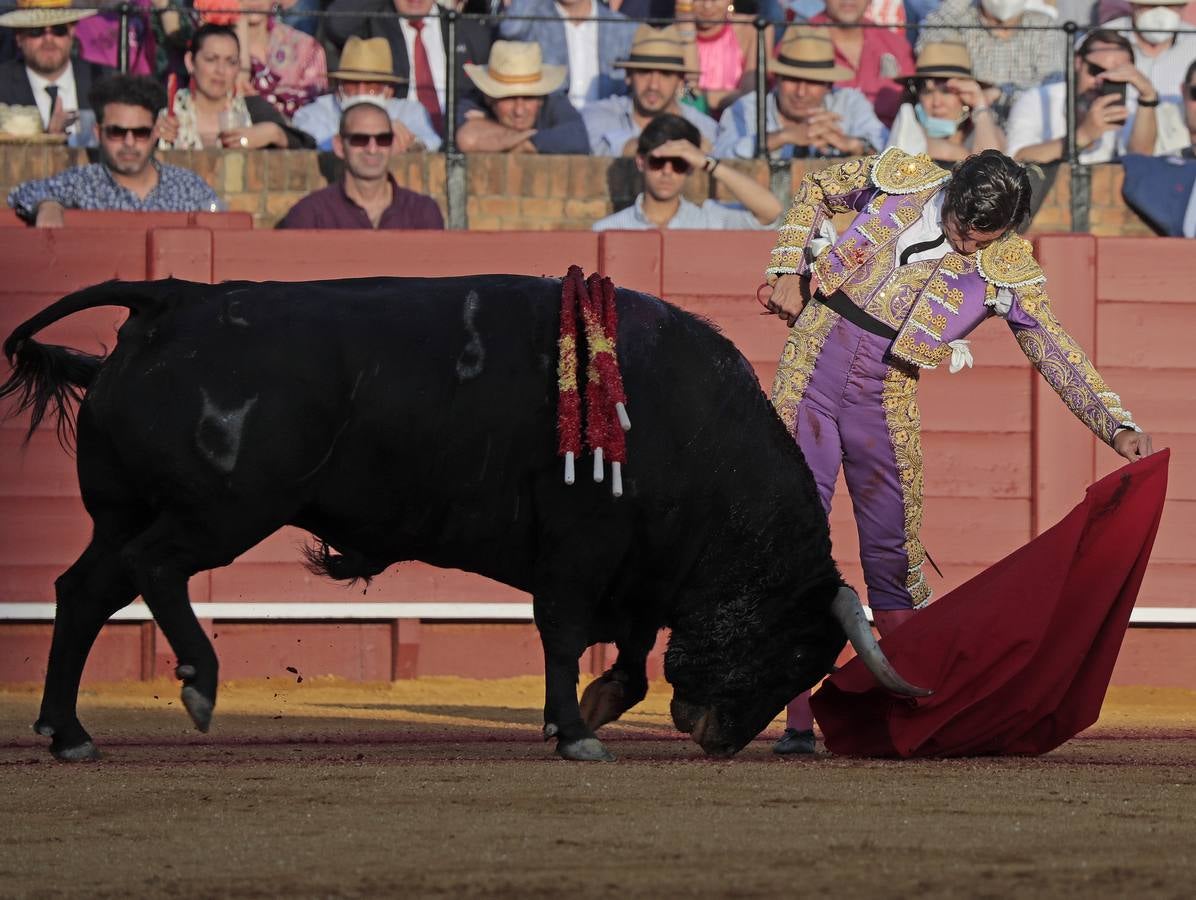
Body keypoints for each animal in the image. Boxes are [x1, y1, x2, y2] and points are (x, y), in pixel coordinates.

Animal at [0, 273, 923, 760]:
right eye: (798, 651)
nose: (717, 737)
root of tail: (169, 298)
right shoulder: (580, 548)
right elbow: (565, 634)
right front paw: (574, 731)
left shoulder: (631, 565)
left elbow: (624, 651)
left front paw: (587, 710)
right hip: (225, 509)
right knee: (155, 569)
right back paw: (197, 684)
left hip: (122, 513)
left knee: (83, 591)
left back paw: (66, 730)